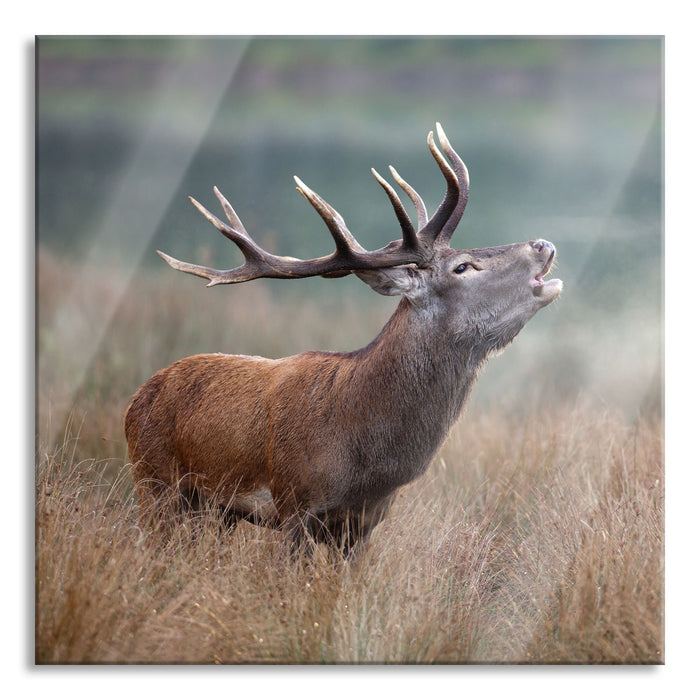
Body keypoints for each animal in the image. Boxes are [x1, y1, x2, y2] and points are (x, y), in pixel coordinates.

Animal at [124, 123, 562, 557]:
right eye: (462, 267)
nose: (543, 244)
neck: (365, 454)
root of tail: (136, 397)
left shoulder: (364, 523)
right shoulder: (295, 502)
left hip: (216, 511)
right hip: (153, 480)